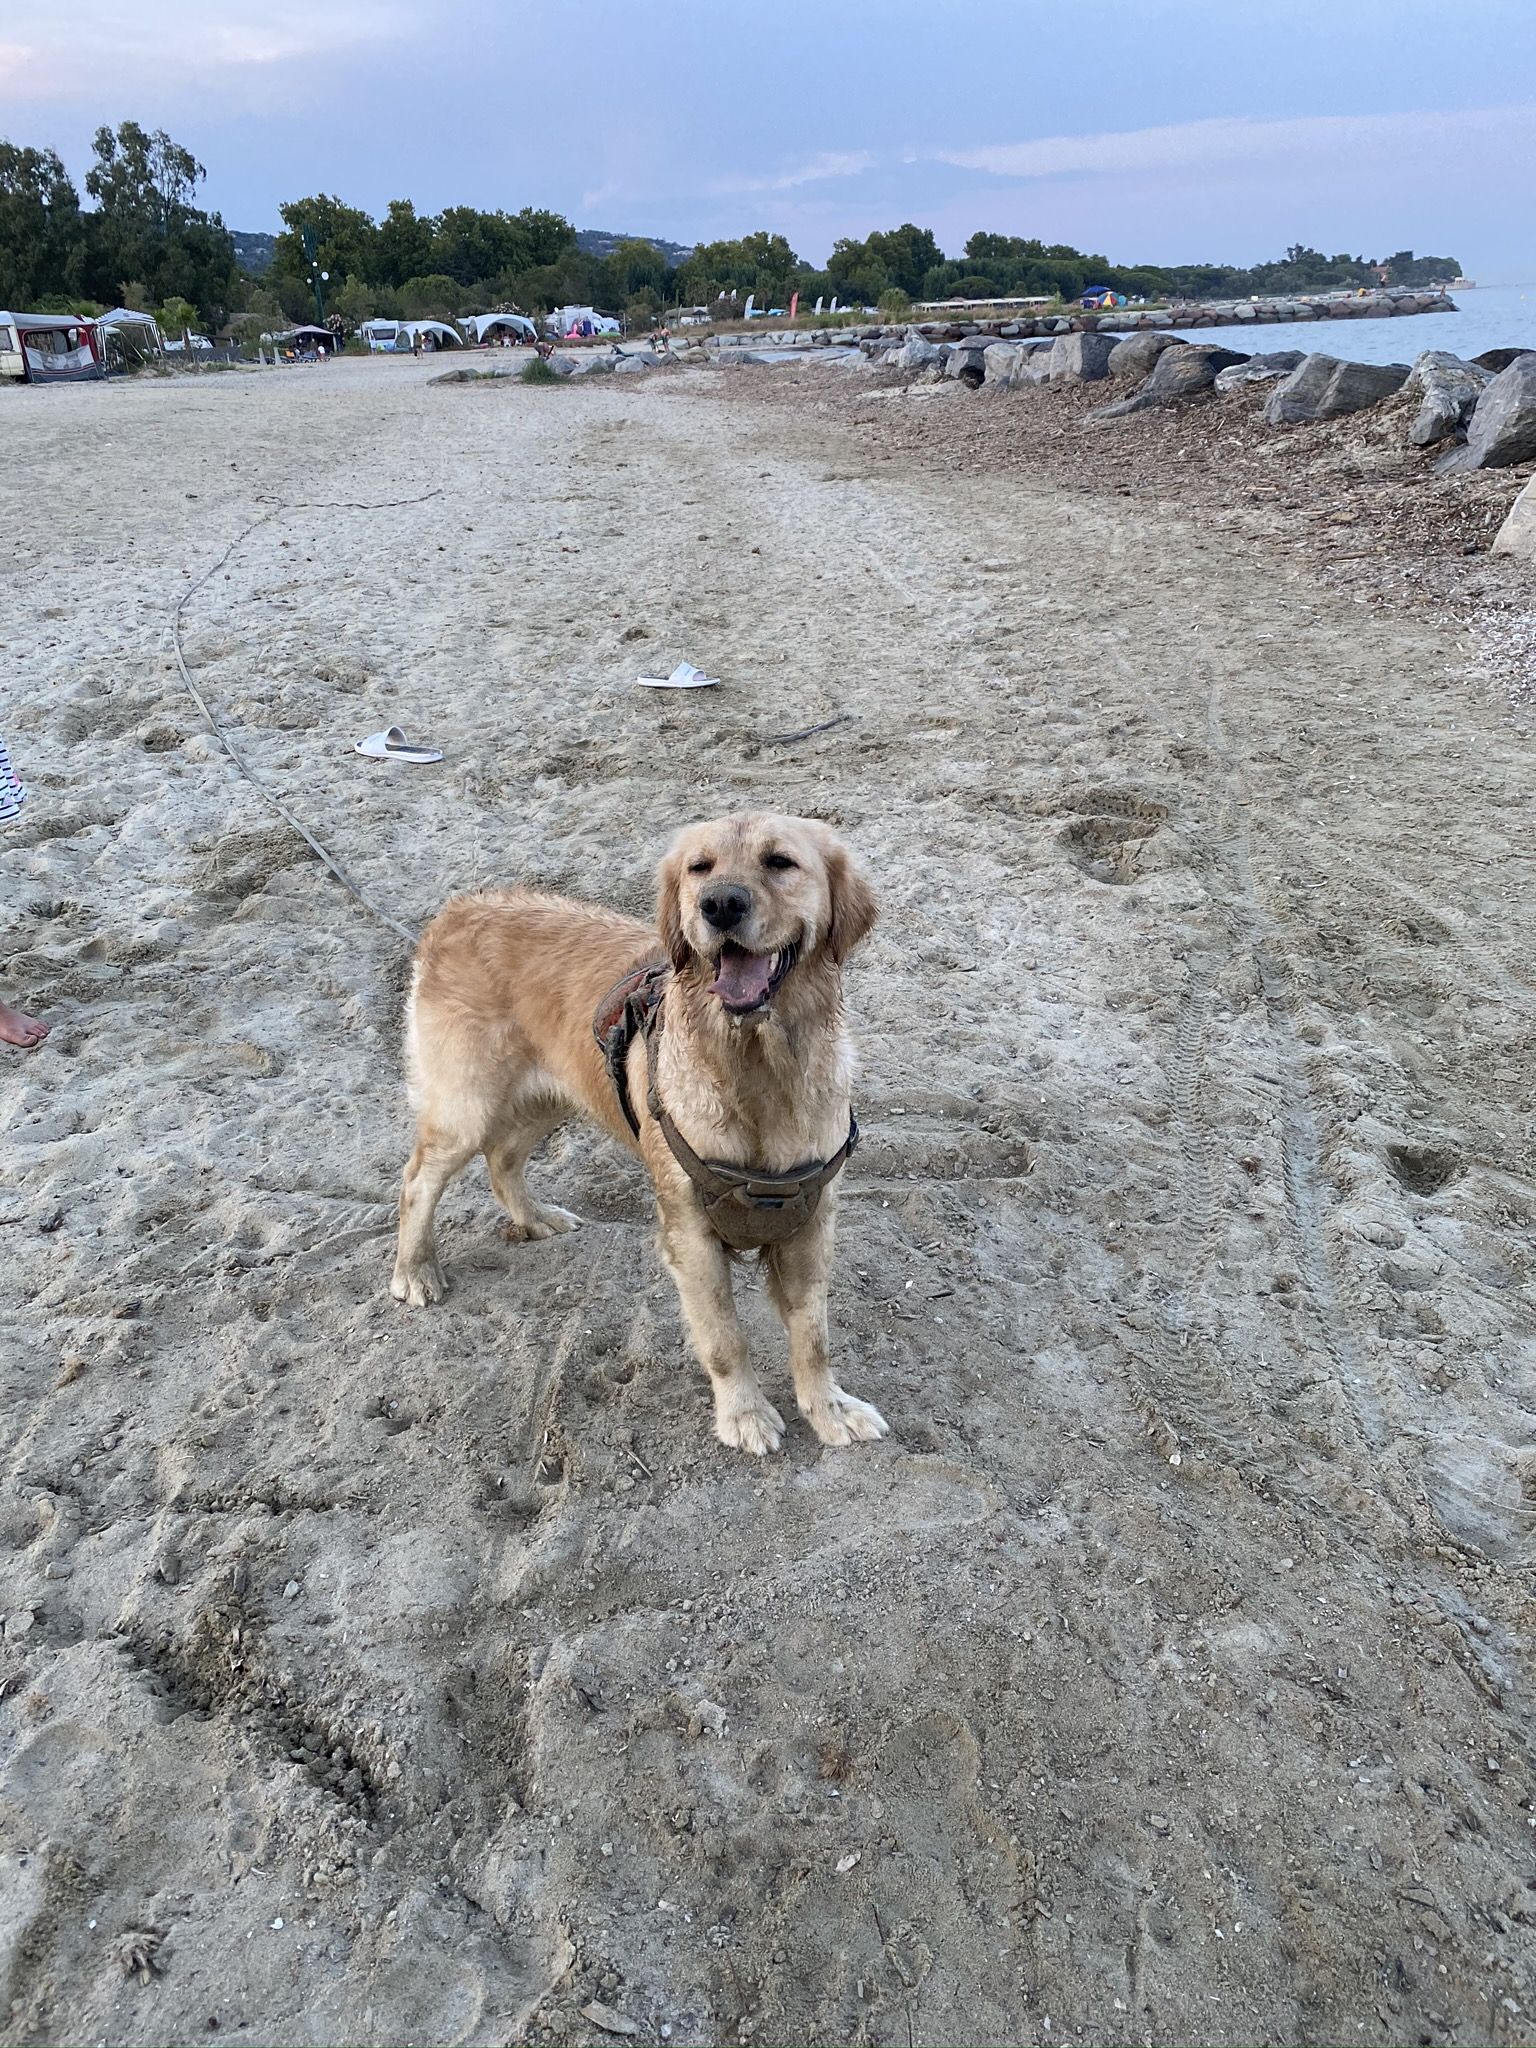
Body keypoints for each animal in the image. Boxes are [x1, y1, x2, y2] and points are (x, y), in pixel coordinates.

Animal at [391, 812, 887, 1455]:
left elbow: (813, 1336)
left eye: (780, 862)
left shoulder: (809, 1223)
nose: (719, 904)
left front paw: (829, 1410)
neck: (755, 1066)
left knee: (502, 1159)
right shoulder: (690, 1233)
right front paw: (745, 1414)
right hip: (466, 1108)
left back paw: (536, 1218)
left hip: (556, 1093)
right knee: (418, 1181)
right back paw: (414, 1269)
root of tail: (460, 907)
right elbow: (724, 1338)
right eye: (700, 867)